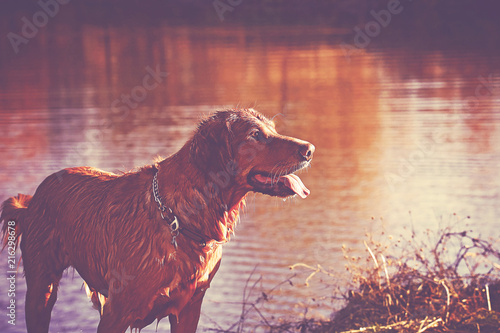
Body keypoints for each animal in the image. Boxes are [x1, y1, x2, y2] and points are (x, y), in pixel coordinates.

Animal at [0, 109, 314, 332]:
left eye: (273, 130)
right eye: (255, 135)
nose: (309, 149)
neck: (179, 219)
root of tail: (33, 199)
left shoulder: (189, 307)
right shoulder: (117, 311)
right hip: (42, 287)